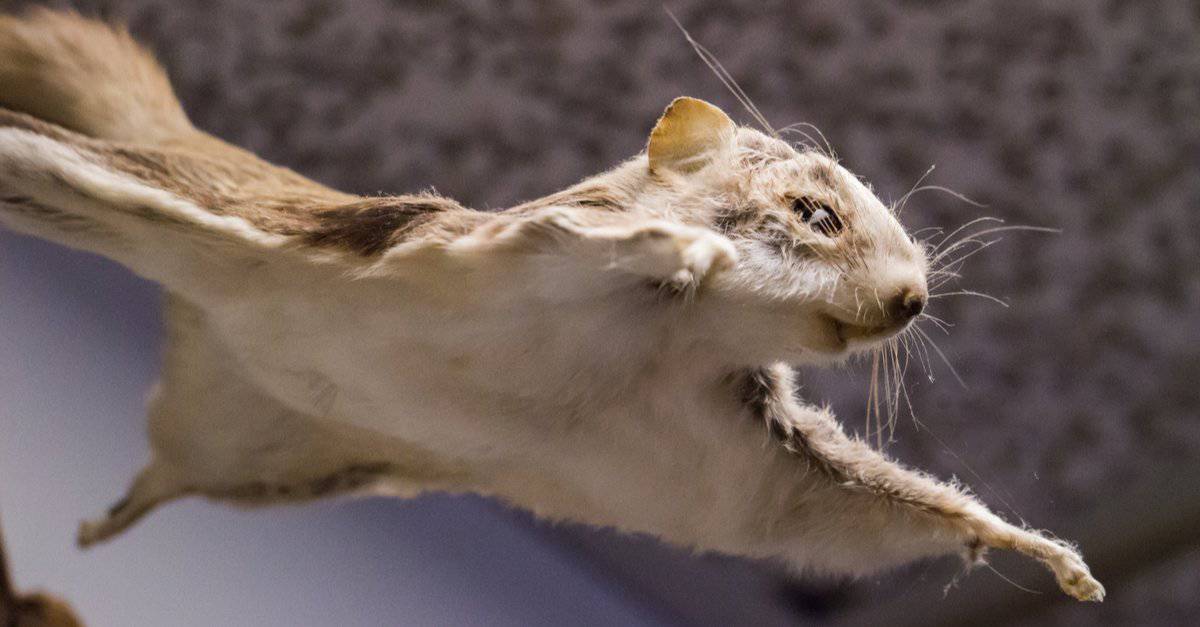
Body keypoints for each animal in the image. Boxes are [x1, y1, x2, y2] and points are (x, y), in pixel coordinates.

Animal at [0, 8, 1099, 600]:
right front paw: (684, 250)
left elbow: (854, 507)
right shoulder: (489, 250)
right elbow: (585, 244)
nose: (913, 299)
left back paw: (110, 519)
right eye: (815, 213)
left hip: (257, 454)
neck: (658, 350)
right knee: (72, 168)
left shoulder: (750, 454)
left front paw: (1040, 552)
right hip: (177, 209)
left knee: (165, 479)